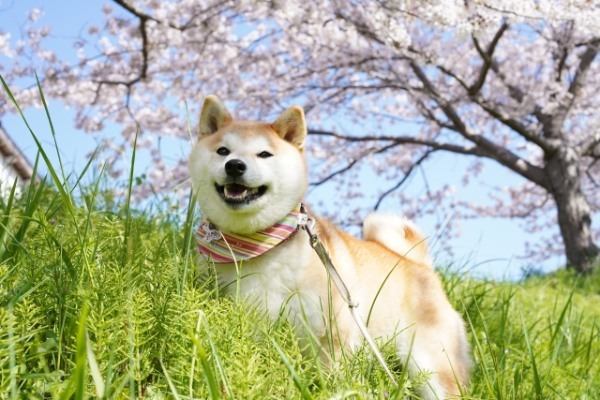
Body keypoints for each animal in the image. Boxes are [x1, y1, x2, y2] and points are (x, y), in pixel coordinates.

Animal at [190, 95, 472, 398]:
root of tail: (417, 262)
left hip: (430, 364)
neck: (259, 245)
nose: (234, 165)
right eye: (223, 150)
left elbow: (335, 380)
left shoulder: (334, 335)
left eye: (264, 154)